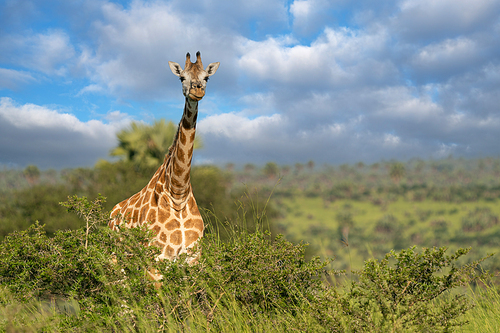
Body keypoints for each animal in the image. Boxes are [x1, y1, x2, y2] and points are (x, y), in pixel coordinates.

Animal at [109, 52, 219, 274]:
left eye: (206, 77)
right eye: (181, 77)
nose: (197, 90)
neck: (178, 194)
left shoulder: (194, 259)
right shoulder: (156, 260)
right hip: (114, 259)